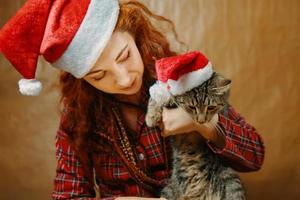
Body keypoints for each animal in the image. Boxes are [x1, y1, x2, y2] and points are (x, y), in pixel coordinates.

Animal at [145, 72, 246, 200]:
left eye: (211, 107)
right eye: (192, 107)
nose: (201, 121)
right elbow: (155, 97)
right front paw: (151, 116)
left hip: (232, 181)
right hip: (168, 192)